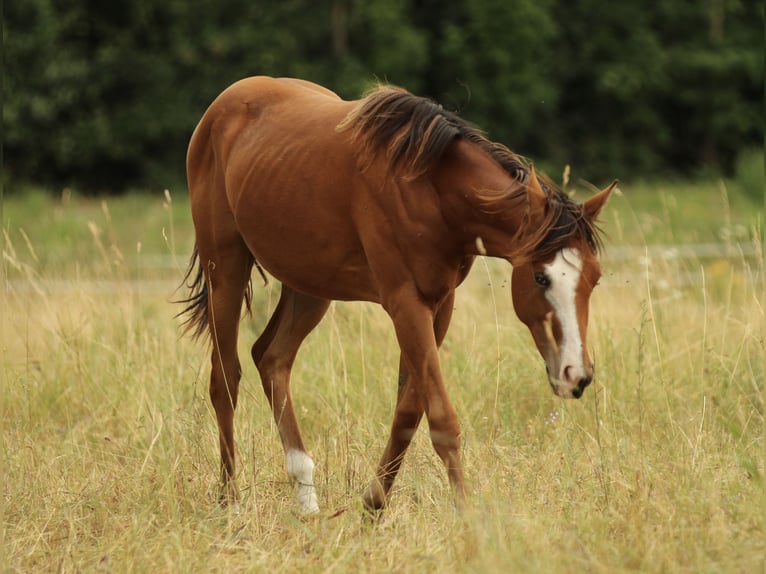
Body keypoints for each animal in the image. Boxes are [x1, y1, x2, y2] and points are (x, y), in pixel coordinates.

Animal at [177, 76, 616, 516]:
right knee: (225, 378)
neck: (430, 190)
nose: (576, 375)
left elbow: (409, 409)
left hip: (309, 289)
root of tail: (227, 102)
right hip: (226, 272)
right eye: (542, 278)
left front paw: (373, 503)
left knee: (272, 358)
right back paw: (230, 502)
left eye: (594, 279)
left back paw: (307, 498)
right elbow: (441, 417)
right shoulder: (405, 303)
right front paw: (466, 516)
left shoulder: (439, 305)